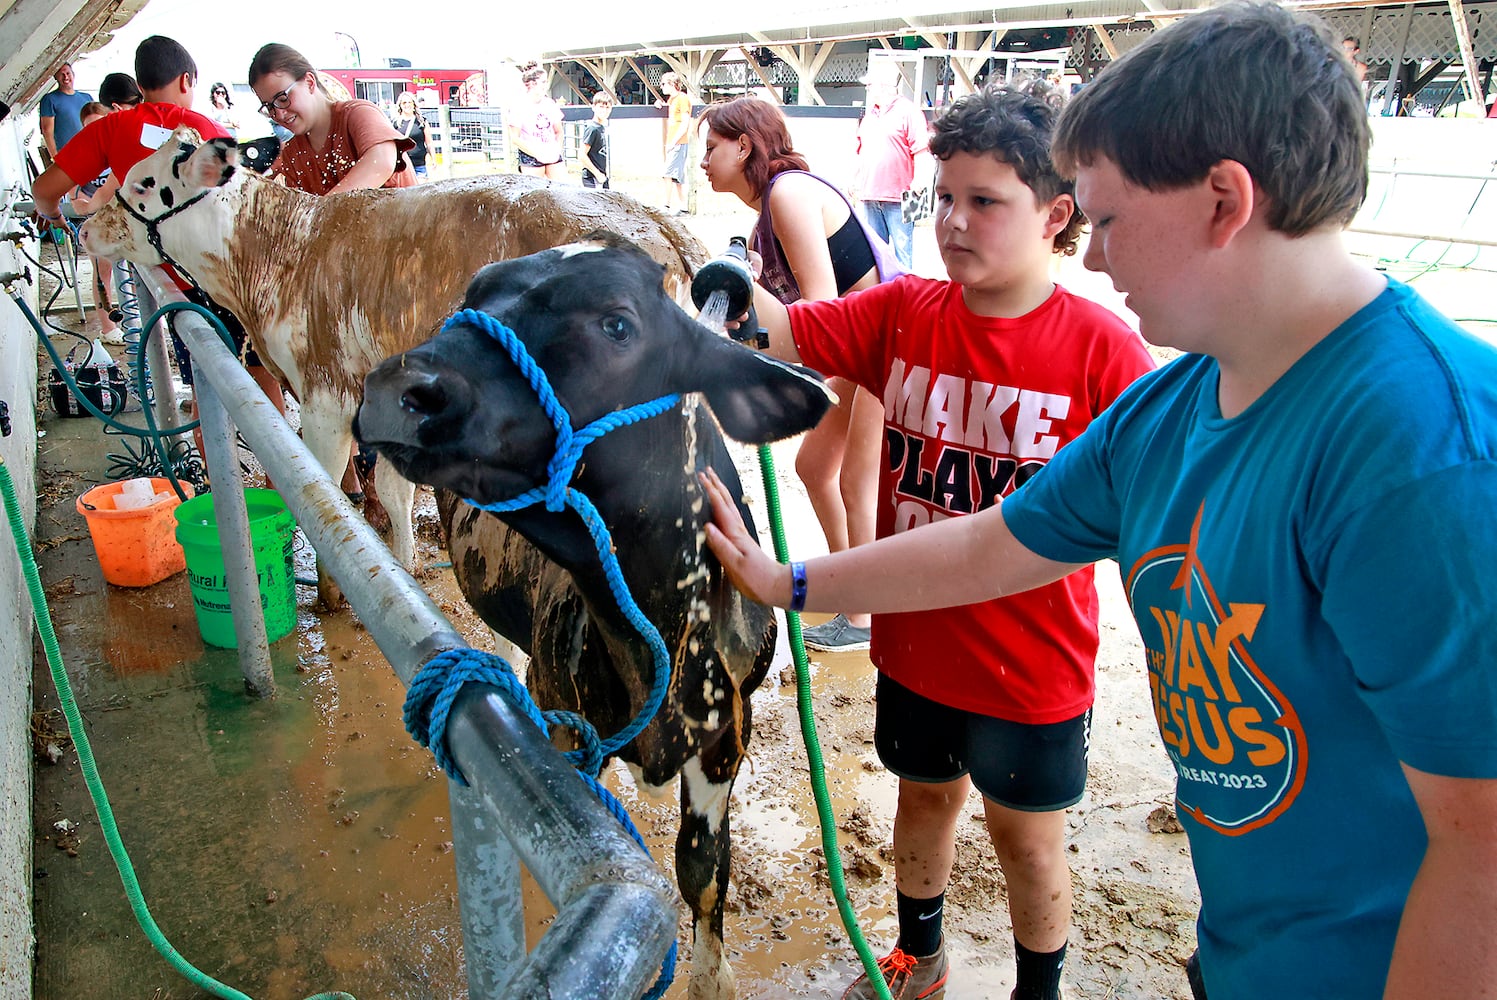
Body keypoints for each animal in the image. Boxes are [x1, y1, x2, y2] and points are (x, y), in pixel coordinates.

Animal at [81, 127, 706, 610]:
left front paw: (332, 592)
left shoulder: (325, 390)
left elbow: (324, 483)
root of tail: (648, 214)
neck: (286, 251)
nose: (84, 225)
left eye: (142, 182)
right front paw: (404, 570)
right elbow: (391, 487)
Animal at [356, 236, 838, 999]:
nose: (395, 388)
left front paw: (713, 977)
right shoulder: (568, 723)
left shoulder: (727, 733)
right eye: (474, 292)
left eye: (617, 324)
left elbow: (703, 871)